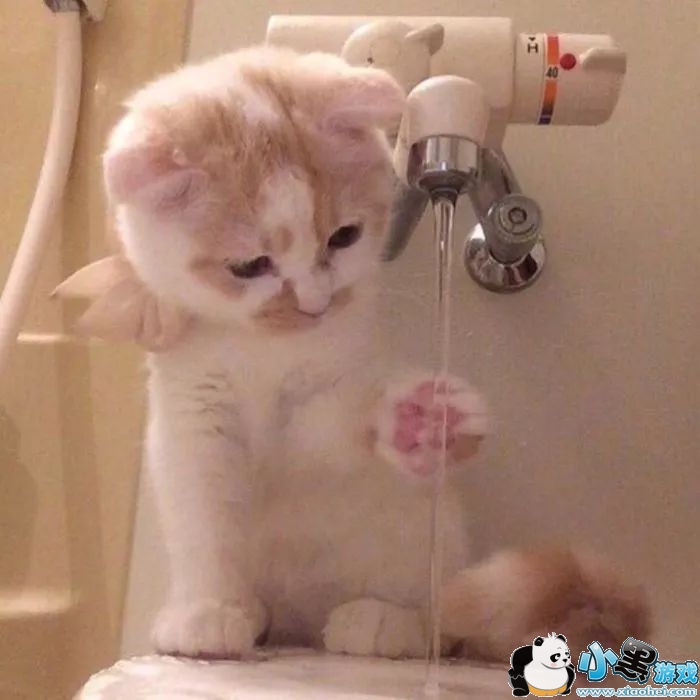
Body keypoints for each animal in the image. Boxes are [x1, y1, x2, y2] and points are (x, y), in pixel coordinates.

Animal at [55, 46, 649, 661]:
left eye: (344, 236)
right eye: (249, 266)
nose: (315, 303)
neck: (262, 348)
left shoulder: (321, 394)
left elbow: (333, 423)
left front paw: (412, 421)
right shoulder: (194, 414)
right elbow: (204, 523)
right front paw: (210, 611)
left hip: (424, 534)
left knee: (440, 621)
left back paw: (386, 621)